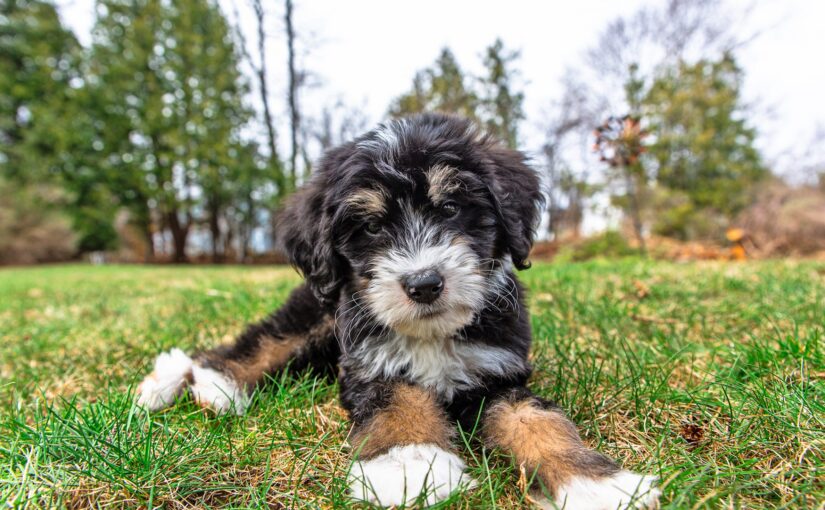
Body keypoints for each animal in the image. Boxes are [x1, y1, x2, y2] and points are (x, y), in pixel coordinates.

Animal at [138, 113, 660, 508]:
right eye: (370, 227)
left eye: (450, 208)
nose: (423, 283)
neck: (432, 334)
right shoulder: (371, 365)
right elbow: (400, 401)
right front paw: (413, 465)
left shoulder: (499, 373)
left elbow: (540, 421)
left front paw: (595, 483)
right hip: (317, 311)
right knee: (263, 341)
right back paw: (204, 381)